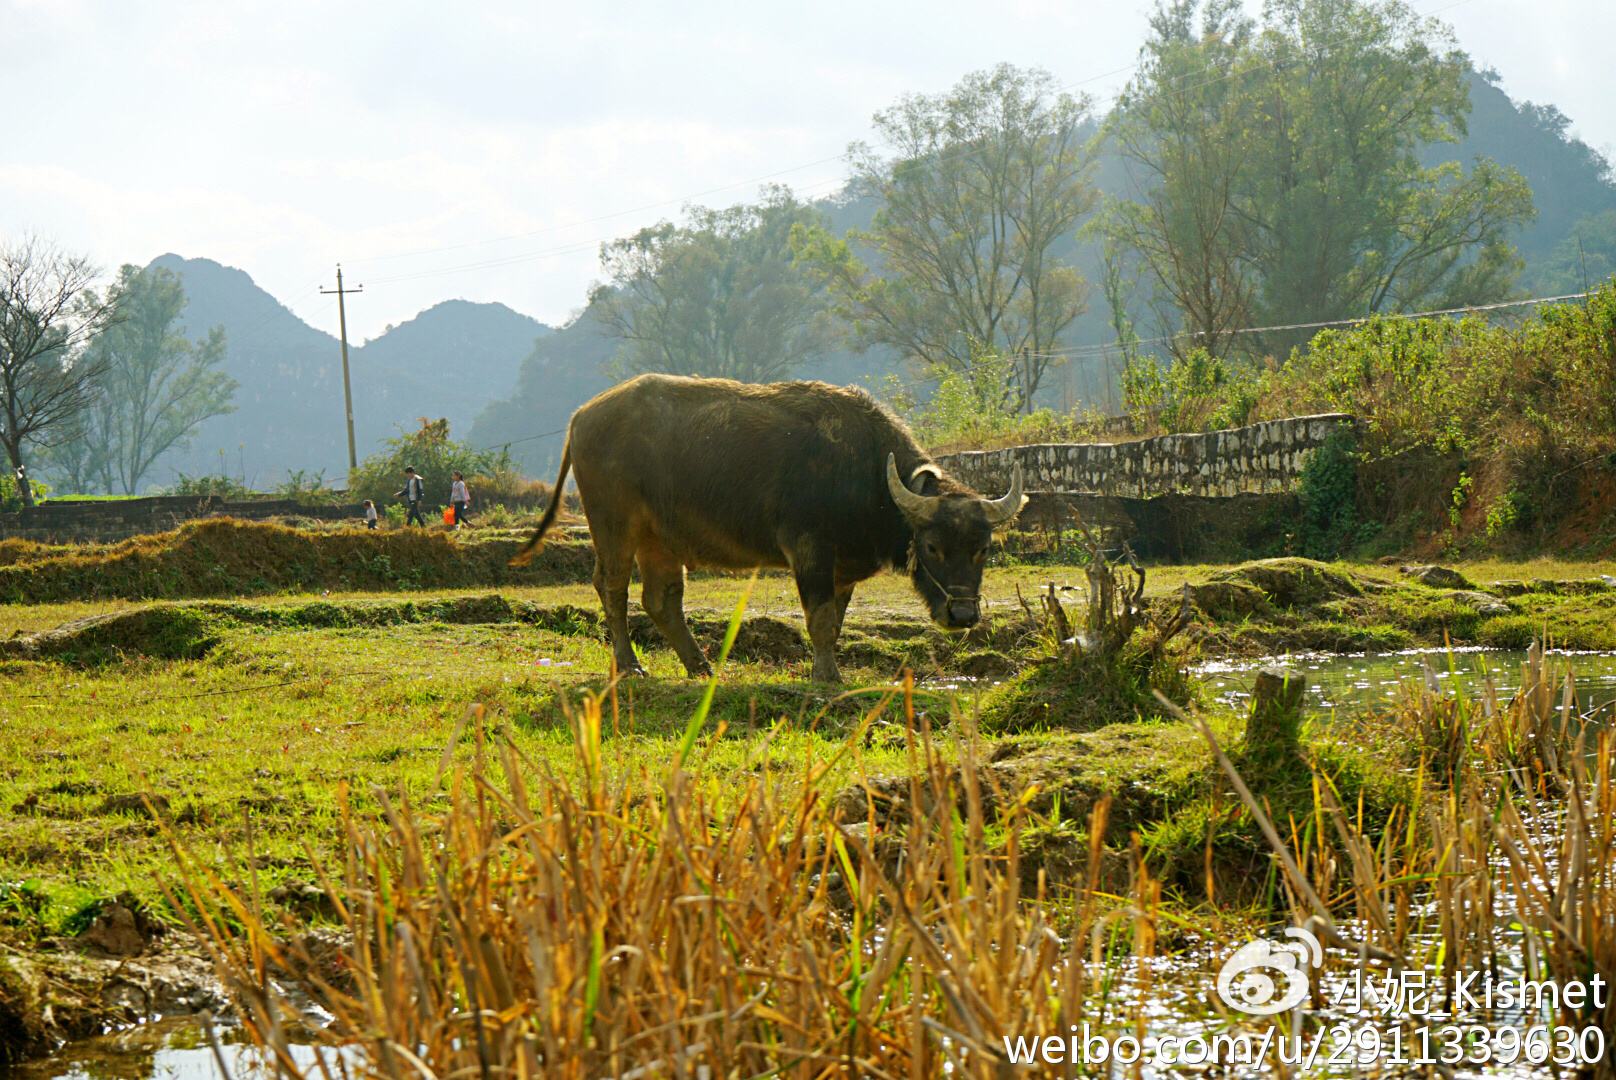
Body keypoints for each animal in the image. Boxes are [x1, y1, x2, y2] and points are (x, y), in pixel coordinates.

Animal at [517, 375, 1021, 679]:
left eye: (983, 548)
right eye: (933, 546)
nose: (962, 615)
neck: (867, 474)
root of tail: (582, 417)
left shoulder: (842, 568)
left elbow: (836, 622)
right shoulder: (810, 551)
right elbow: (819, 620)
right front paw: (827, 677)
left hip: (659, 539)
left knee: (661, 600)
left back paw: (701, 666)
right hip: (614, 527)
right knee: (612, 588)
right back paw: (630, 666)